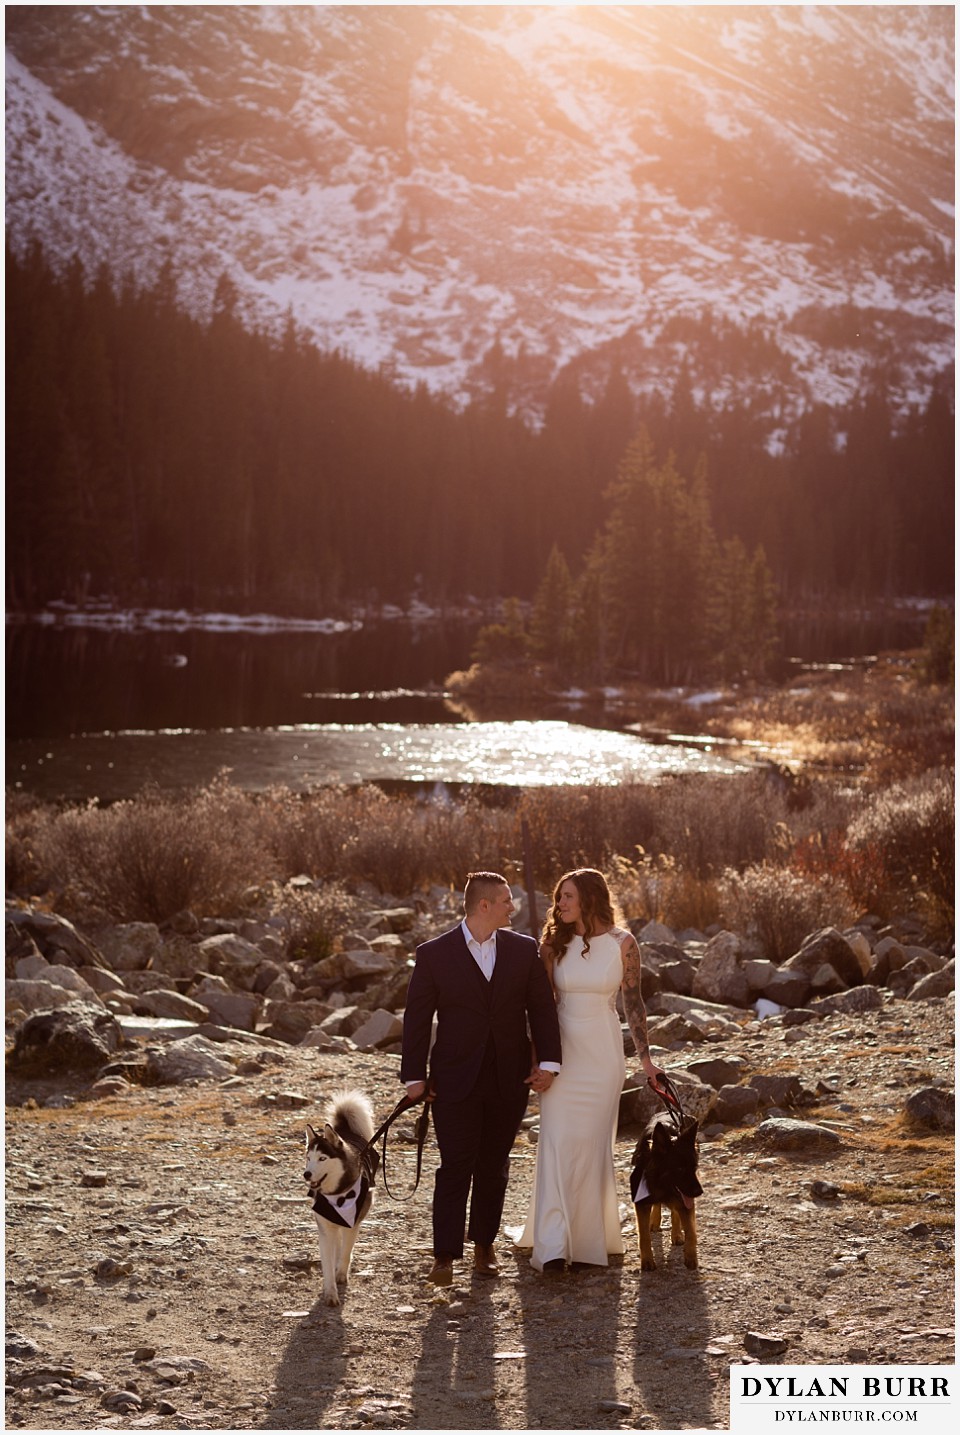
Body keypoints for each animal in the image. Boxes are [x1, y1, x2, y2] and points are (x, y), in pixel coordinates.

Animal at [305, 1090, 375, 1308]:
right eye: (308, 1158)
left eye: (322, 1158)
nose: (306, 1174)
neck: (337, 1194)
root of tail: (344, 1129)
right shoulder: (325, 1227)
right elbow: (328, 1261)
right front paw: (330, 1292)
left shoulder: (353, 1222)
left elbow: (345, 1252)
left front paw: (341, 1275)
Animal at [628, 1107, 703, 1268]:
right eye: (680, 1169)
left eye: (694, 1168)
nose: (699, 1192)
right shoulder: (641, 1202)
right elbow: (644, 1236)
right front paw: (647, 1260)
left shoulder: (685, 1201)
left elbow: (691, 1232)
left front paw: (691, 1257)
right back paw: (655, 1221)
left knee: (675, 1212)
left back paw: (676, 1234)